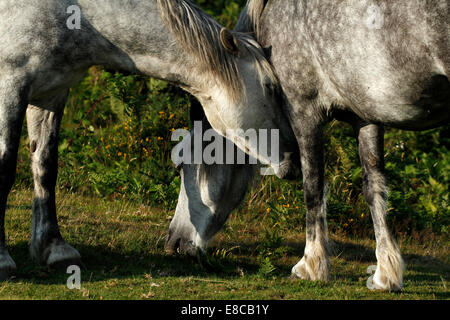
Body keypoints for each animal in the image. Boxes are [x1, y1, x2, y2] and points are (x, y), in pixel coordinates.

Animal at [0, 0, 302, 280]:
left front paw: (54, 250)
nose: (294, 161)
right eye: (271, 88)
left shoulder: (51, 95)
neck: (78, 14)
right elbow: (6, 169)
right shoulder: (10, 87)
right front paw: (4, 260)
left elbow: (45, 169)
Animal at [167, 0, 448, 292]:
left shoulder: (305, 113)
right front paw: (386, 273)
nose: (174, 243)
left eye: (184, 163)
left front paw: (311, 265)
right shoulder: (366, 117)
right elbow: (374, 188)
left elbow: (313, 189)